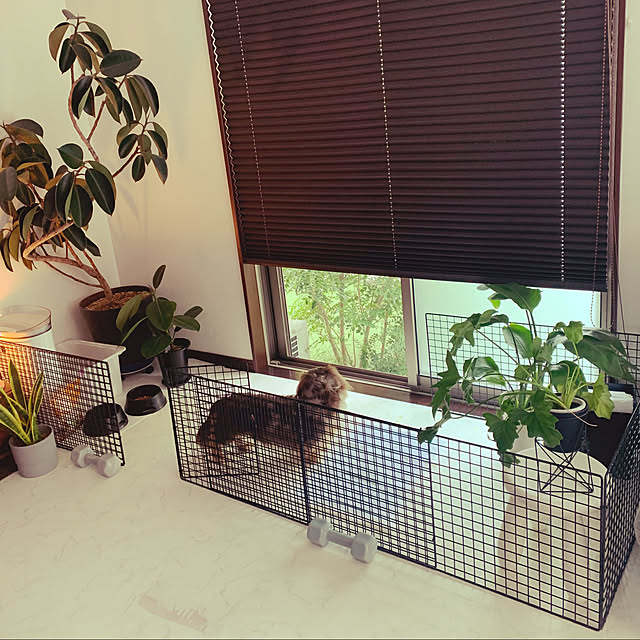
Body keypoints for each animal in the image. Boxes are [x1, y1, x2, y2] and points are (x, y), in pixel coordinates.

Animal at [196, 364, 351, 464]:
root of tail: (219, 403)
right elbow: (311, 451)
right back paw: (218, 458)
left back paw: (244, 445)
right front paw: (313, 460)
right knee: (211, 442)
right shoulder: (311, 441)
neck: (315, 403)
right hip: (224, 432)